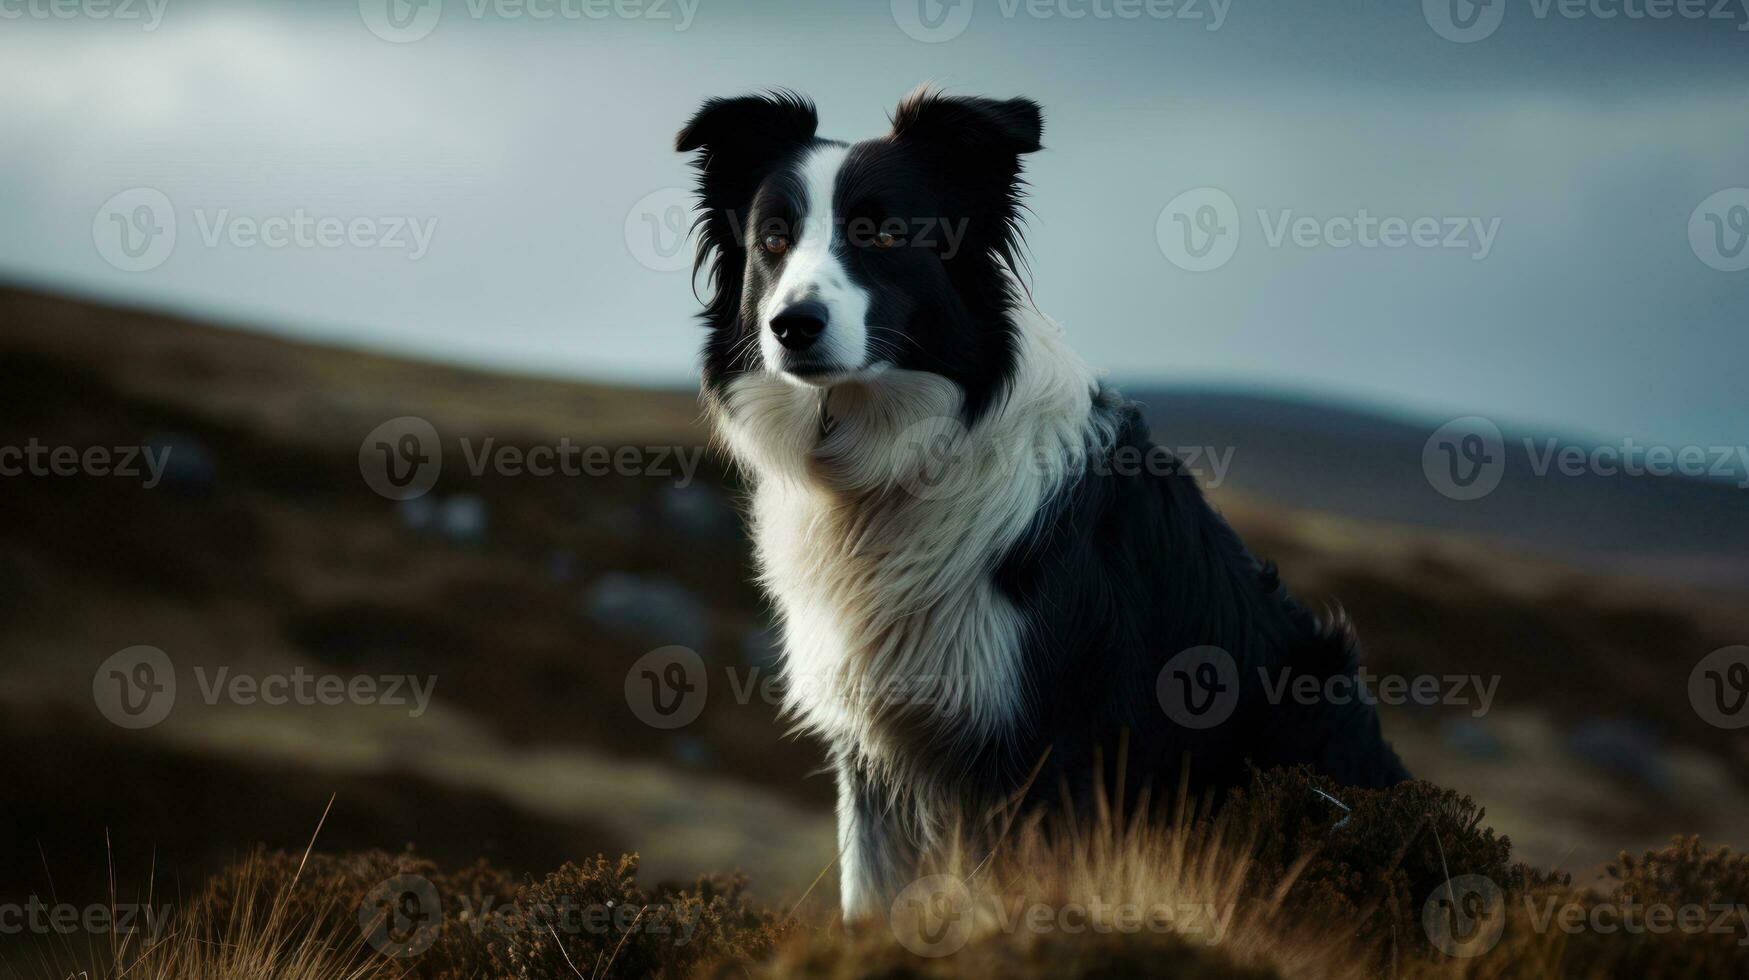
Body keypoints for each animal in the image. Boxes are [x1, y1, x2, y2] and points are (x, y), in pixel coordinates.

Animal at [668, 87, 1406, 917]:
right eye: (773, 237)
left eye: (885, 231)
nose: (791, 326)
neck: (890, 466)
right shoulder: (873, 747)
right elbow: (871, 899)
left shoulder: (1046, 747)